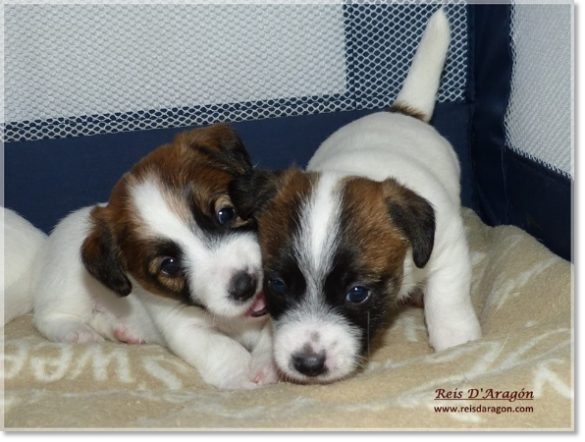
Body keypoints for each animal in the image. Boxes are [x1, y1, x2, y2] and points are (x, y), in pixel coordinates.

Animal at [230, 9, 482, 384]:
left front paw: (457, 341)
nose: (308, 364)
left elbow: (446, 299)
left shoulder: (448, 250)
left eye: (357, 293)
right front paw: (265, 354)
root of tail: (402, 111)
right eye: (277, 285)